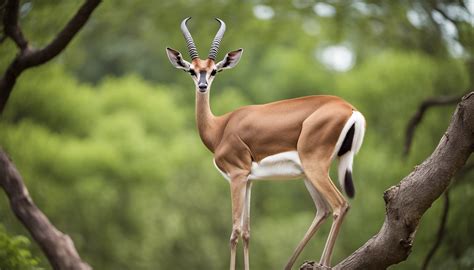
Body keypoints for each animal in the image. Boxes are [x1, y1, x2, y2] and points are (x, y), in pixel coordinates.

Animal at [167, 17, 366, 268]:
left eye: (214, 71)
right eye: (192, 70)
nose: (202, 86)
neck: (219, 127)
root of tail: (351, 109)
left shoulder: (236, 175)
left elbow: (234, 231)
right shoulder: (250, 180)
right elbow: (247, 232)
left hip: (315, 168)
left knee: (340, 205)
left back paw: (323, 264)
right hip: (308, 174)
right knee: (323, 210)